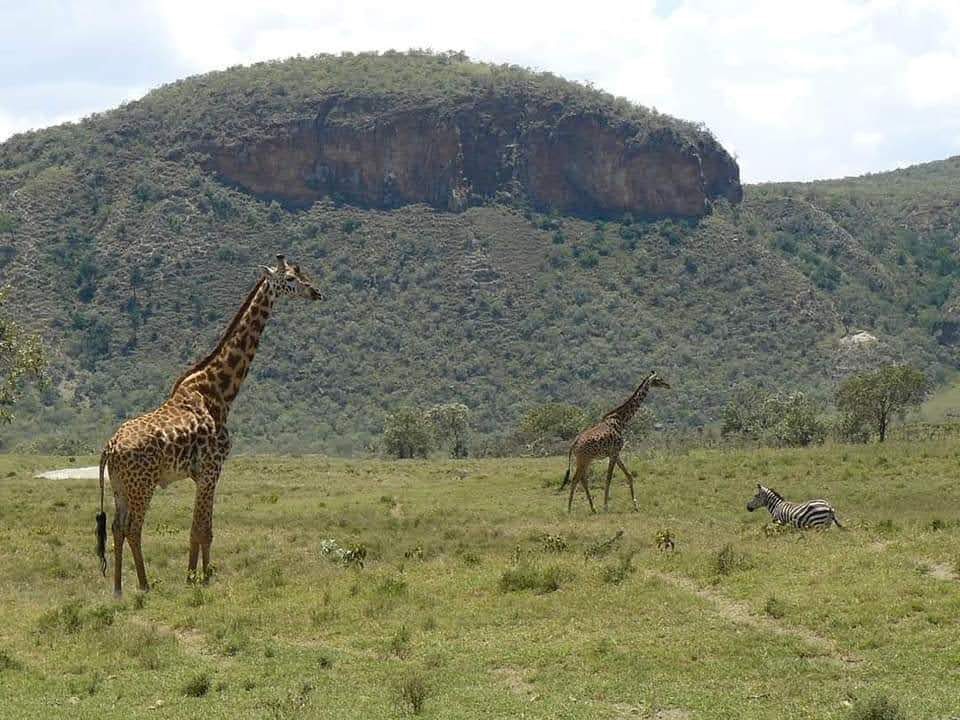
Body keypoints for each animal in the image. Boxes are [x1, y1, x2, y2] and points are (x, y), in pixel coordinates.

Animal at [96, 256, 322, 592]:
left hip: (120, 487)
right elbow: (201, 530)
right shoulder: (210, 469)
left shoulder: (205, 473)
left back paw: (118, 588)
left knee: (116, 527)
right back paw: (144, 585)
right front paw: (196, 579)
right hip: (142, 485)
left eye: (302, 273)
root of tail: (109, 448)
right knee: (134, 528)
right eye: (291, 279)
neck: (219, 391)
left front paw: (202, 575)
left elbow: (205, 528)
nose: (316, 292)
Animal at [560, 372, 672, 512]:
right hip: (583, 460)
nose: (668, 385)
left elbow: (629, 475)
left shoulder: (616, 454)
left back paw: (593, 508)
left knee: (583, 479)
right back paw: (569, 509)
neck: (621, 420)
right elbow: (608, 479)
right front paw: (606, 506)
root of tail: (573, 445)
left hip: (586, 460)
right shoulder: (613, 453)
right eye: (659, 379)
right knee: (576, 479)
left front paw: (635, 505)